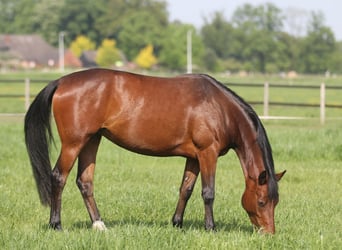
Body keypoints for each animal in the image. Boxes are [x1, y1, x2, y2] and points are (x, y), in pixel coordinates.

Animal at [24, 68, 286, 232]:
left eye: (276, 202)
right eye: (262, 201)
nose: (269, 233)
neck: (219, 108)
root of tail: (61, 82)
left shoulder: (194, 157)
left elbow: (186, 189)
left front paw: (177, 223)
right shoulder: (207, 153)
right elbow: (208, 192)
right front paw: (210, 227)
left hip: (91, 140)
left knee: (85, 182)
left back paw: (99, 225)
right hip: (74, 143)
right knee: (59, 177)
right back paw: (56, 224)